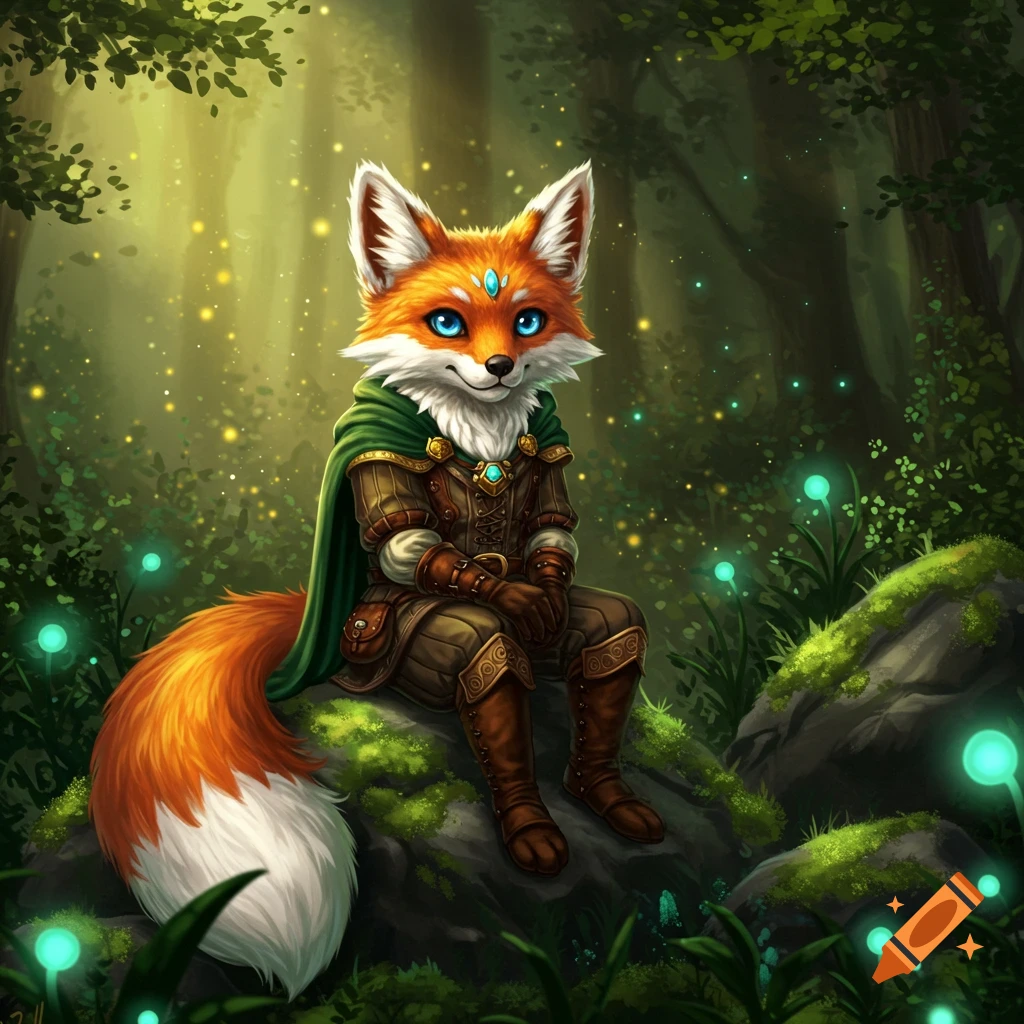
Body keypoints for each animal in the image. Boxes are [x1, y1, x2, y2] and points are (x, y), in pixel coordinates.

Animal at [88, 159, 647, 997]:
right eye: (447, 323)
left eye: (527, 322)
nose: (500, 368)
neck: (481, 429)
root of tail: (321, 643)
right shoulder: (382, 462)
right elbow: (407, 541)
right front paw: (513, 597)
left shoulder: (548, 455)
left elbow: (554, 533)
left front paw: (539, 593)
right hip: (408, 642)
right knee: (490, 657)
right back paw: (531, 820)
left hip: (572, 636)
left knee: (613, 633)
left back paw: (604, 795)